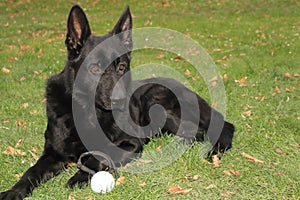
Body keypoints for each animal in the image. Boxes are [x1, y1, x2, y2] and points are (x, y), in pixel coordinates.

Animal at [0, 5, 234, 200]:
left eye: (121, 67)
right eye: (94, 68)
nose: (121, 99)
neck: (88, 112)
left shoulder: (131, 143)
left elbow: (99, 155)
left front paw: (78, 177)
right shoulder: (52, 154)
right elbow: (31, 172)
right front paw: (14, 191)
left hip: (158, 105)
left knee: (214, 129)